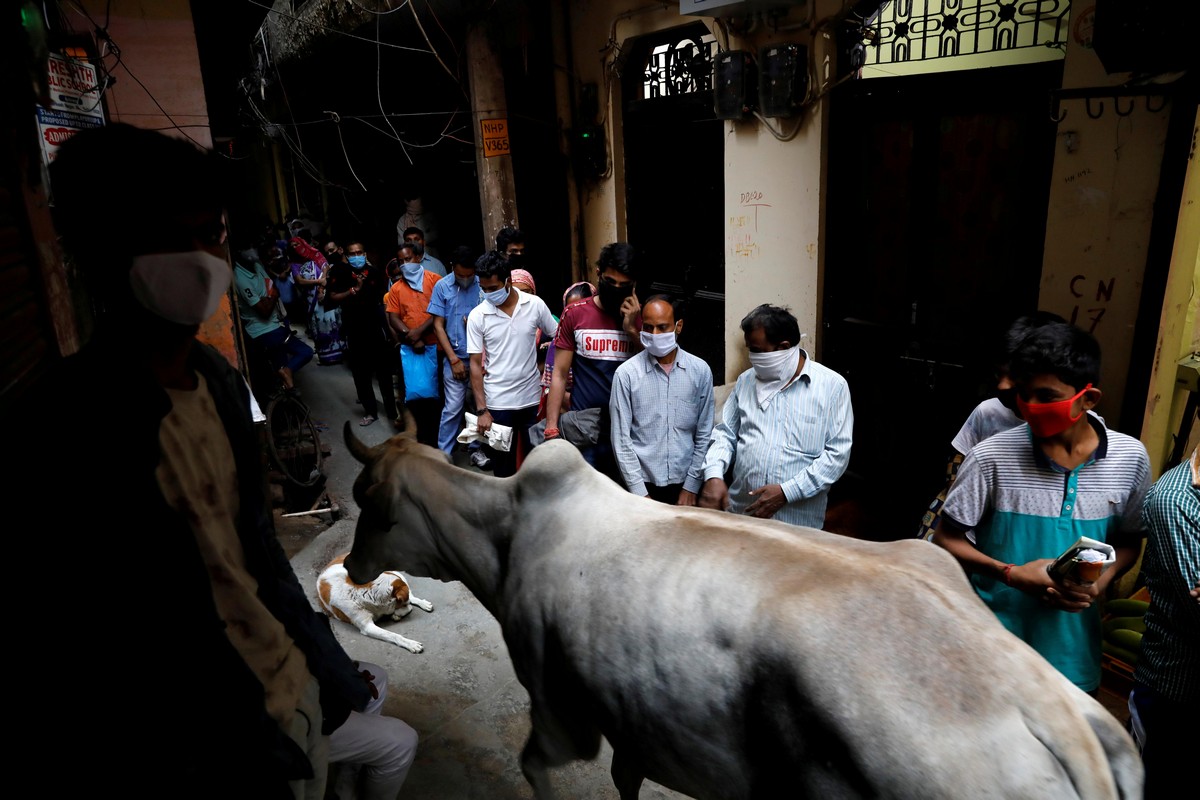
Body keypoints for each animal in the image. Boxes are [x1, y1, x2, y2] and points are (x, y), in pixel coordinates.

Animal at [343, 422, 1137, 796]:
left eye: (369, 506)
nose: (349, 568)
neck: (505, 533)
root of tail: (1053, 710)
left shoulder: (559, 709)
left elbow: (537, 767)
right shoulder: (634, 721)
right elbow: (626, 780)